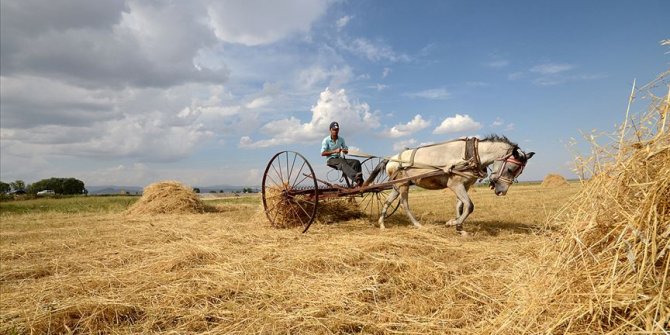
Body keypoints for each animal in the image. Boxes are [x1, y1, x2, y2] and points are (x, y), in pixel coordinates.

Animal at [380, 135, 540, 235]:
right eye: (511, 169)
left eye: (518, 172)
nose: (502, 192)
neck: (471, 154)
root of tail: (391, 159)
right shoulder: (455, 184)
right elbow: (470, 206)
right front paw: (454, 224)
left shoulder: (465, 185)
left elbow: (460, 206)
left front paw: (458, 226)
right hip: (403, 185)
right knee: (404, 204)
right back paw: (418, 225)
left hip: (398, 186)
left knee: (388, 201)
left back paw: (382, 224)